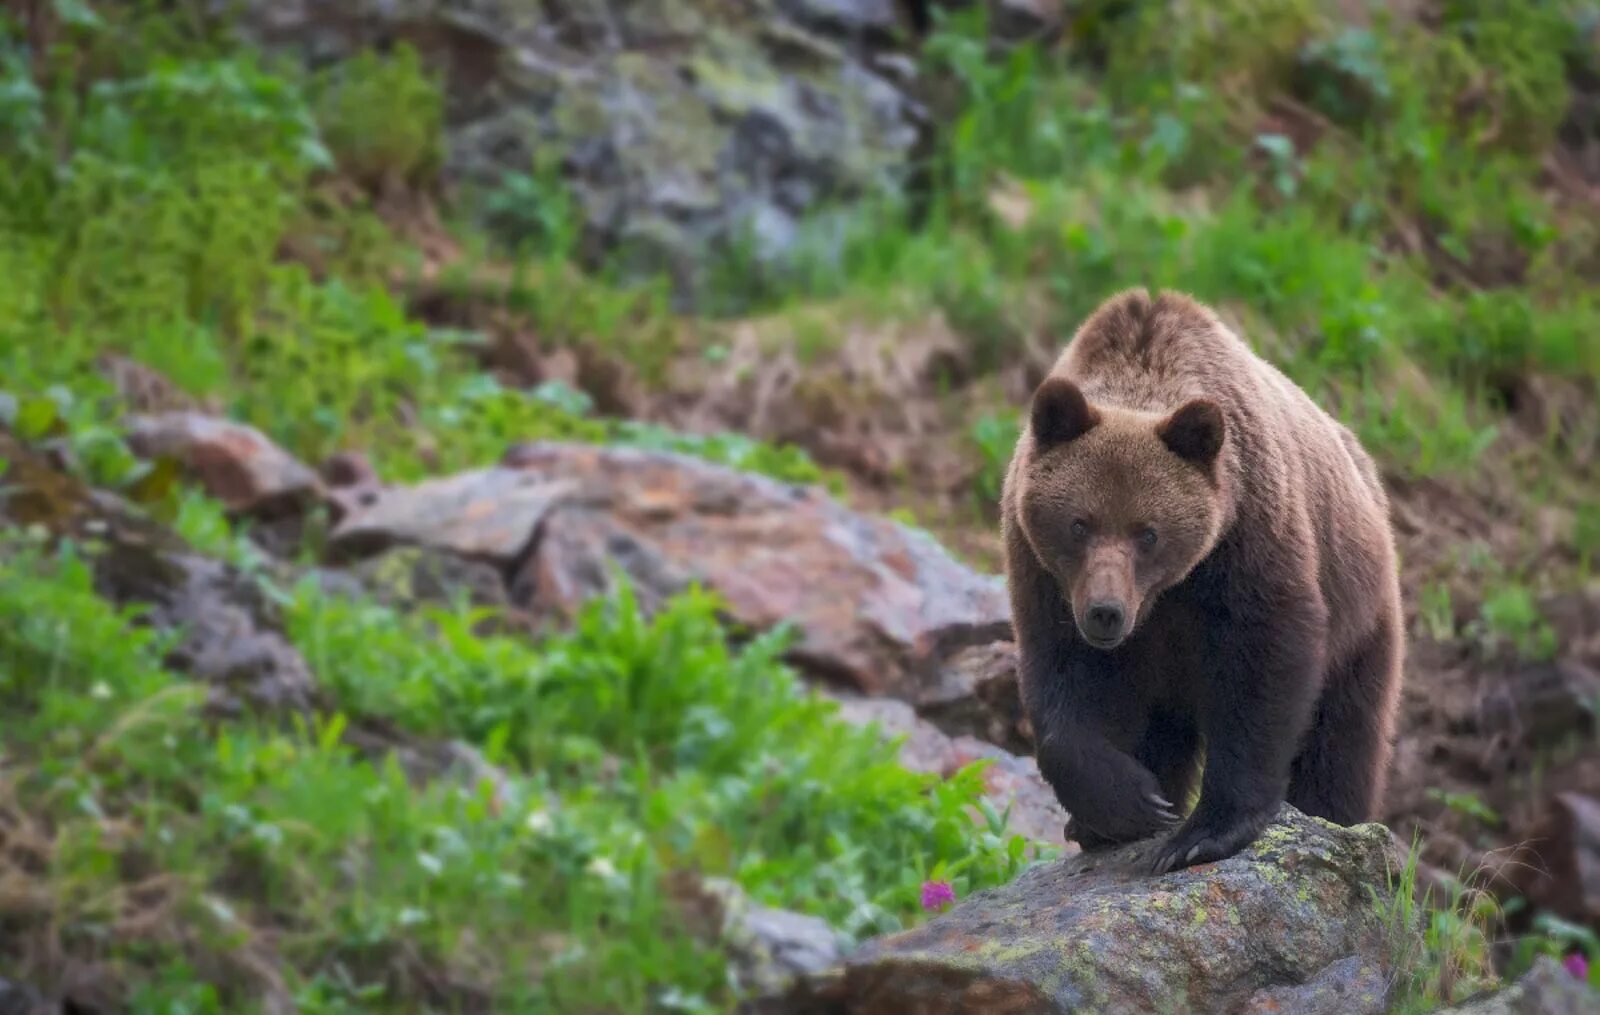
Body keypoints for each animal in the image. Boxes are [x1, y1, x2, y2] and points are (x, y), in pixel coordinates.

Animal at [1004, 284, 1408, 870]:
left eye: (1148, 532)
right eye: (1079, 523)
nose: (1106, 613)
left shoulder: (1247, 541)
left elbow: (1262, 667)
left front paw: (1201, 832)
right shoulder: (1043, 575)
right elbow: (1061, 683)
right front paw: (1129, 805)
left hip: (1361, 617)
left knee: (1342, 741)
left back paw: (1338, 818)